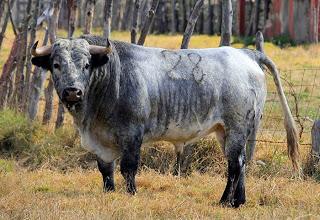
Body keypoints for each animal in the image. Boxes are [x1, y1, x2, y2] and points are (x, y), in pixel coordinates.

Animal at [31, 35, 298, 207]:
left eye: (86, 64)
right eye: (56, 64)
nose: (72, 91)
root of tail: (246, 53)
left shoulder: (132, 134)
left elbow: (128, 168)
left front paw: (131, 195)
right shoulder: (100, 143)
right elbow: (106, 171)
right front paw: (109, 194)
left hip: (237, 128)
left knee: (234, 165)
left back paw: (224, 201)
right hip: (226, 131)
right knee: (240, 162)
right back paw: (238, 201)